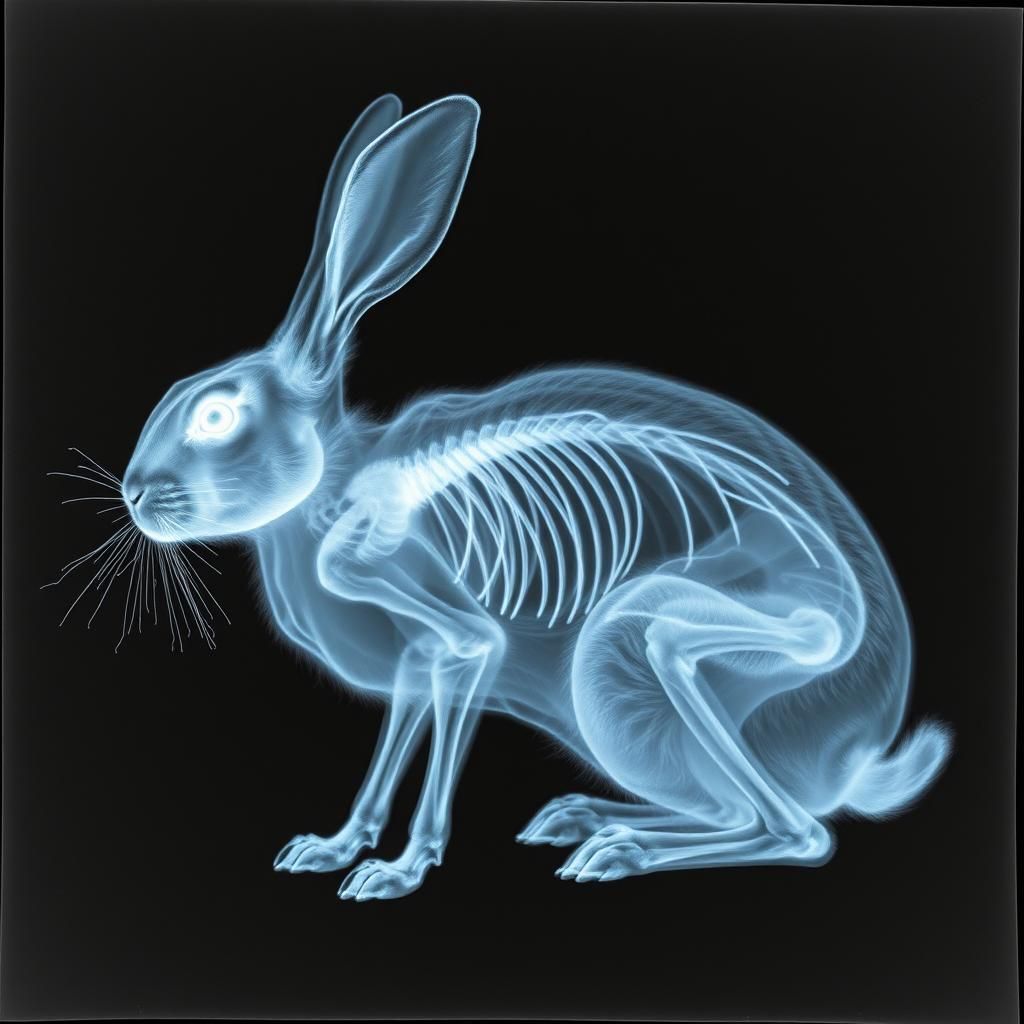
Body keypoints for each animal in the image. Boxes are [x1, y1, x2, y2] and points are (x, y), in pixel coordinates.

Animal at [117, 92, 952, 900]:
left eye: (216, 415)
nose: (134, 495)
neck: (332, 481)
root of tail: (860, 751)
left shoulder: (455, 634)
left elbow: (458, 652)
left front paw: (400, 871)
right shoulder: (414, 663)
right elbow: (391, 749)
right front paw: (334, 848)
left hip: (648, 642)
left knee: (793, 823)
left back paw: (621, 852)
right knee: (735, 810)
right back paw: (588, 818)